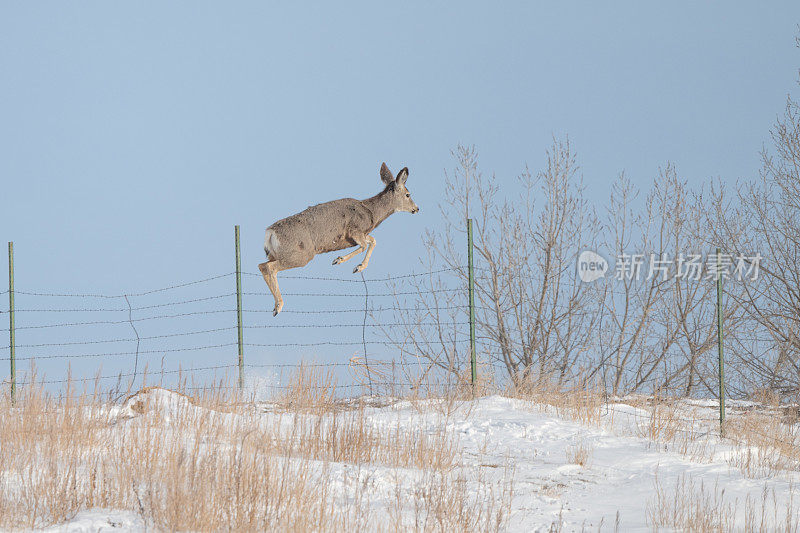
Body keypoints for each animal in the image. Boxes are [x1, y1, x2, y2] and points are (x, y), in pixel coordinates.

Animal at [258, 162, 422, 316]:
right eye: (408, 194)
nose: (416, 208)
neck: (372, 213)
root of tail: (270, 233)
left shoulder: (357, 236)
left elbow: (373, 241)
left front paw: (359, 266)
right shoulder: (354, 230)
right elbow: (364, 245)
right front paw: (341, 261)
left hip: (277, 254)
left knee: (262, 265)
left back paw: (275, 306)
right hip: (301, 255)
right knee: (269, 267)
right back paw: (279, 306)